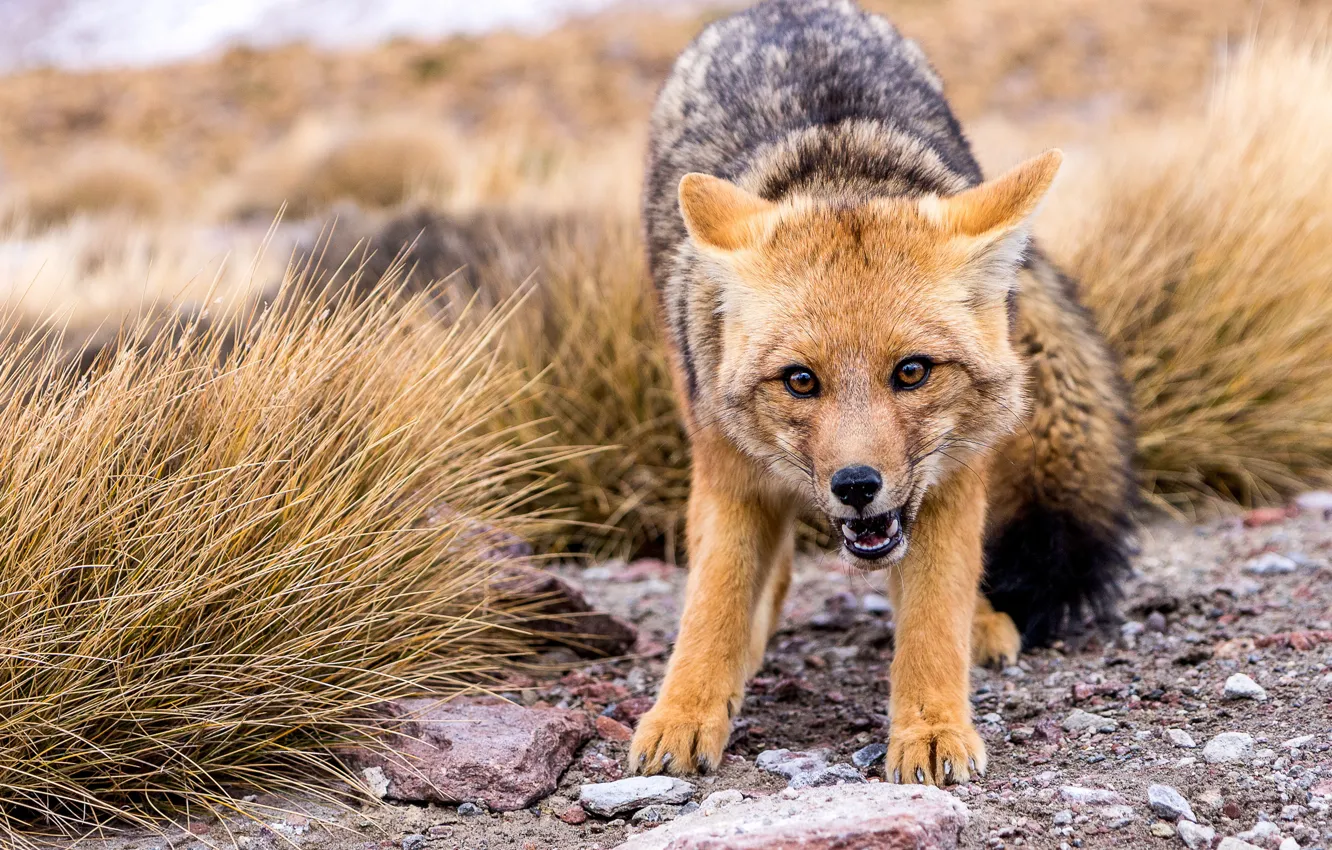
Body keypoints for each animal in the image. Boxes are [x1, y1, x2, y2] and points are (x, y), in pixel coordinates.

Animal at [631, 0, 1134, 786]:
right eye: (800, 380)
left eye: (912, 372)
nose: (856, 485)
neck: (840, 170)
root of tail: (782, 9)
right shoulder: (728, 474)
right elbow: (714, 602)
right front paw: (685, 710)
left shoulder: (952, 482)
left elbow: (931, 616)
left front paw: (930, 727)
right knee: (767, 574)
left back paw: (980, 623)